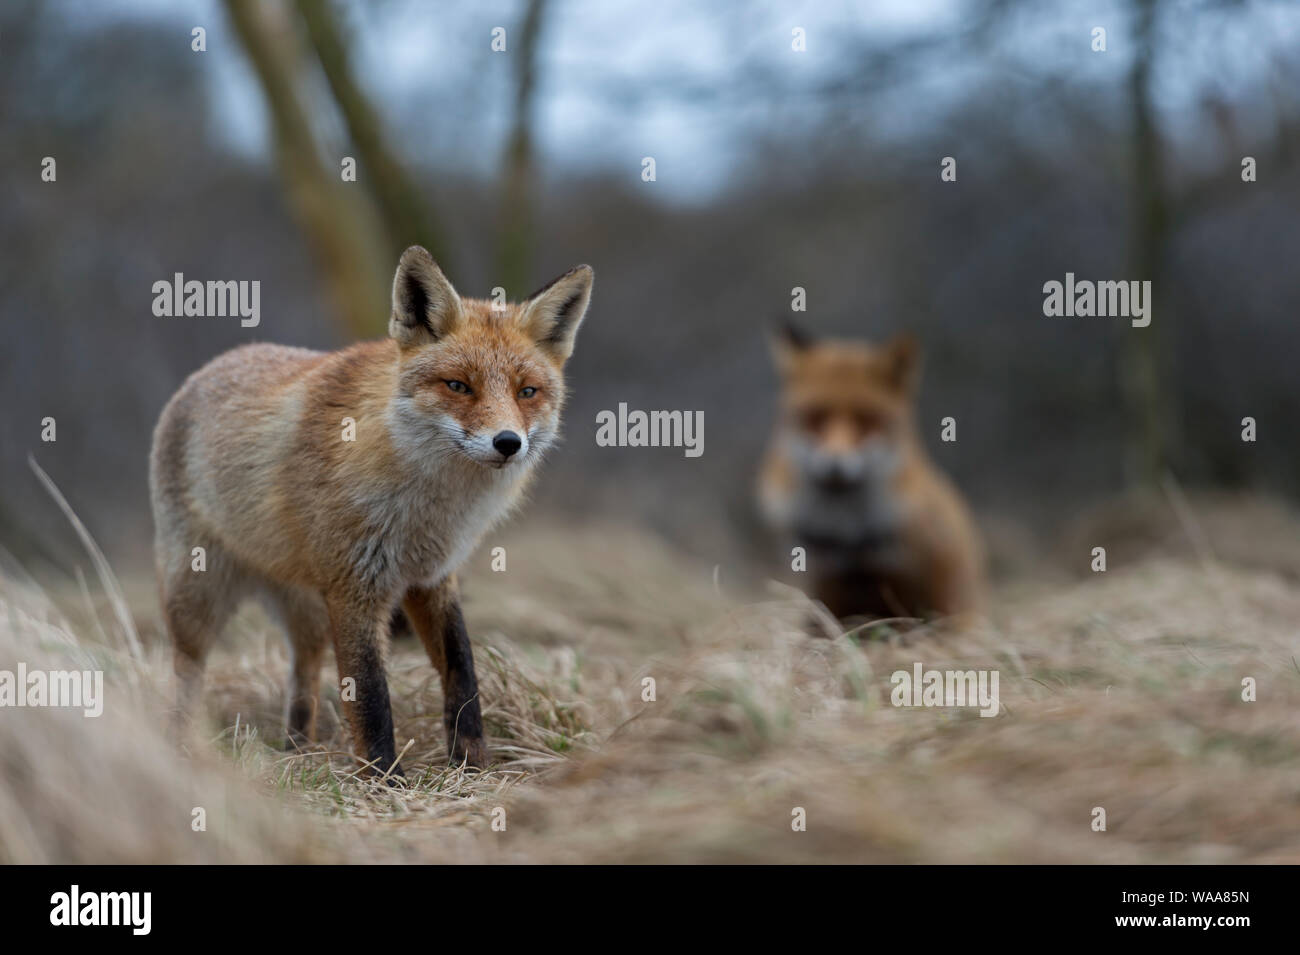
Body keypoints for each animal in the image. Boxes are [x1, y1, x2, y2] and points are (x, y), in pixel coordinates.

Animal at [150, 244, 595, 779]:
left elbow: (462, 672)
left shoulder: (432, 577)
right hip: (197, 596)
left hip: (306, 607)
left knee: (304, 669)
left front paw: (473, 765)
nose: (508, 443)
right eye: (458, 386)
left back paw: (298, 750)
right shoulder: (355, 585)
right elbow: (370, 694)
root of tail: (210, 367)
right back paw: (179, 750)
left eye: (527, 391)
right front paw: (385, 779)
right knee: (187, 671)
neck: (428, 509)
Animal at [759, 323, 977, 628]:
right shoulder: (822, 570)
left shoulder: (912, 566)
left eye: (867, 420)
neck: (846, 530)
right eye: (815, 418)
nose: (835, 463)